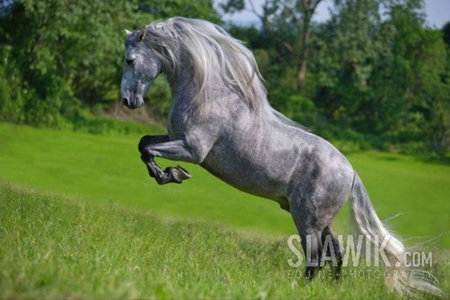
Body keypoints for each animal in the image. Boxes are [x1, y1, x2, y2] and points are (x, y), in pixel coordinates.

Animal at [118, 17, 442, 298]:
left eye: (130, 60)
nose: (127, 101)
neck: (206, 95)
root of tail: (351, 173)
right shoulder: (174, 138)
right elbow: (143, 143)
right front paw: (170, 174)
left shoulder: (192, 149)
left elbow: (148, 150)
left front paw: (171, 174)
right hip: (320, 220)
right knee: (336, 254)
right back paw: (333, 290)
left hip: (307, 219)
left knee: (316, 257)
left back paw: (300, 289)